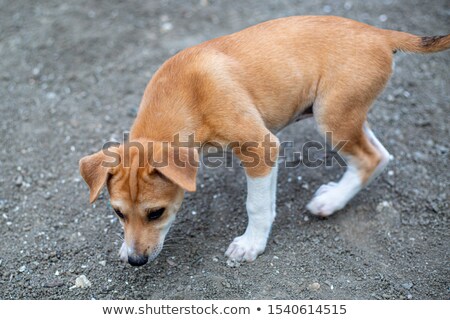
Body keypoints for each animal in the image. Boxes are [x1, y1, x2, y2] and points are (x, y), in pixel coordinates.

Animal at [79, 16, 448, 266]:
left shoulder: (260, 147)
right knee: (380, 155)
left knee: (370, 158)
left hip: (332, 117)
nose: (135, 261)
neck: (185, 94)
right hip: (344, 114)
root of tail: (379, 33)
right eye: (117, 213)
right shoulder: (262, 155)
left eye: (156, 213)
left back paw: (330, 203)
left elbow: (256, 205)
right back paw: (335, 195)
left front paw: (250, 244)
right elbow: (264, 200)